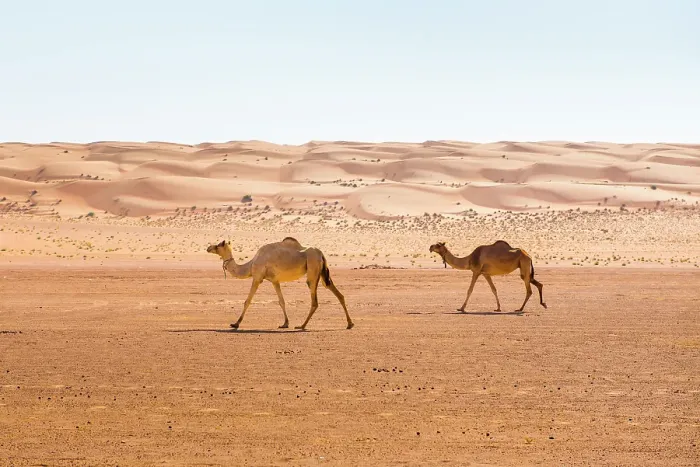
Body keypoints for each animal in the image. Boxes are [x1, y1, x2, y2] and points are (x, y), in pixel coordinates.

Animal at [206, 237, 354, 330]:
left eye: (218, 245)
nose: (208, 247)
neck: (250, 265)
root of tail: (321, 253)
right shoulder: (274, 281)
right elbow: (281, 301)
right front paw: (285, 323)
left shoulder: (257, 278)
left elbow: (247, 301)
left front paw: (235, 324)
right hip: (322, 274)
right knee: (338, 294)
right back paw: (350, 324)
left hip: (312, 269)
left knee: (315, 300)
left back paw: (302, 326)